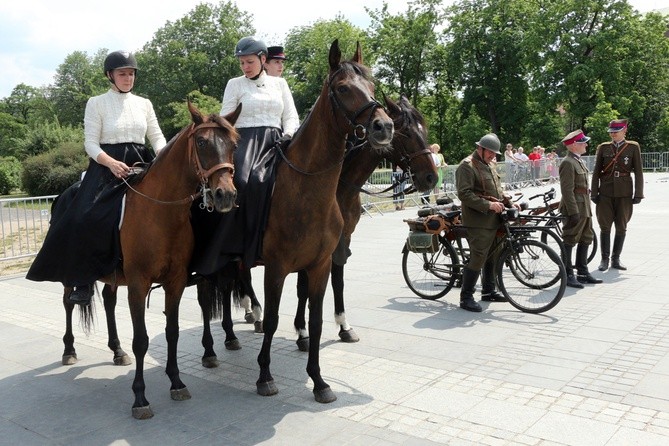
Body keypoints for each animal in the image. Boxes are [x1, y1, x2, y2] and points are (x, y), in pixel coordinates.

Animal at [58, 103, 239, 420]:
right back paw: (69, 350)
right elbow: (141, 340)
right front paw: (140, 398)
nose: (225, 195)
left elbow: (172, 332)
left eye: (234, 144)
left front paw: (176, 382)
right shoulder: (138, 284)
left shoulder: (175, 282)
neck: (160, 214)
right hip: (72, 272)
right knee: (69, 302)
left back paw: (117, 351)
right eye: (201, 142)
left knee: (108, 302)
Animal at [201, 39, 394, 404]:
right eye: (343, 88)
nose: (384, 127)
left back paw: (231, 337)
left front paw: (319, 381)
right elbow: (274, 319)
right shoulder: (276, 267)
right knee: (207, 298)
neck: (306, 189)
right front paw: (265, 376)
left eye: (373, 86)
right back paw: (210, 350)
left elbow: (316, 320)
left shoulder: (319, 265)